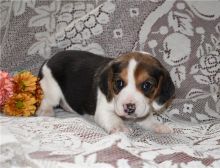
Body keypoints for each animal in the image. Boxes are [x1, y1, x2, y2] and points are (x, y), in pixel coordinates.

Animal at [37, 50, 175, 134]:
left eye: (147, 85)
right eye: (119, 83)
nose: (129, 107)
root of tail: (48, 60)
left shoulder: (143, 111)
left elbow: (148, 120)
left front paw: (158, 126)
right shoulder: (103, 111)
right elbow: (113, 118)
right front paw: (120, 127)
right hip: (52, 90)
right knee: (45, 101)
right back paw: (46, 111)